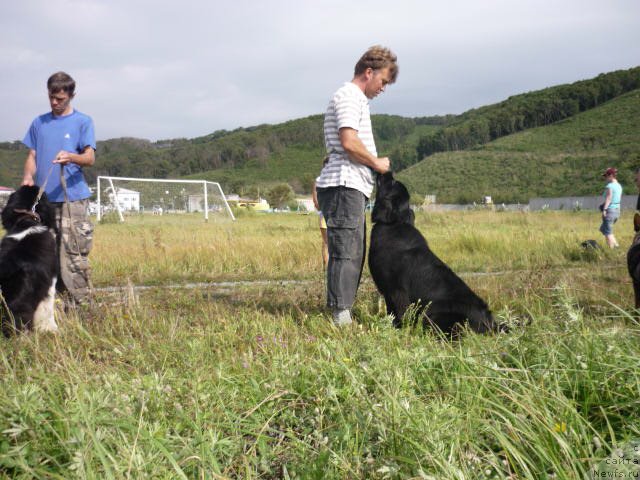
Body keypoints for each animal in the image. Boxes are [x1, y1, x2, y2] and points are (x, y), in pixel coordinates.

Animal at [368, 172, 498, 334]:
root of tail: (491, 323)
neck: (394, 224)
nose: (388, 171)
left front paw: (399, 330)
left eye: (392, 182)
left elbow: (399, 313)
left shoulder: (396, 290)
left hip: (432, 314)